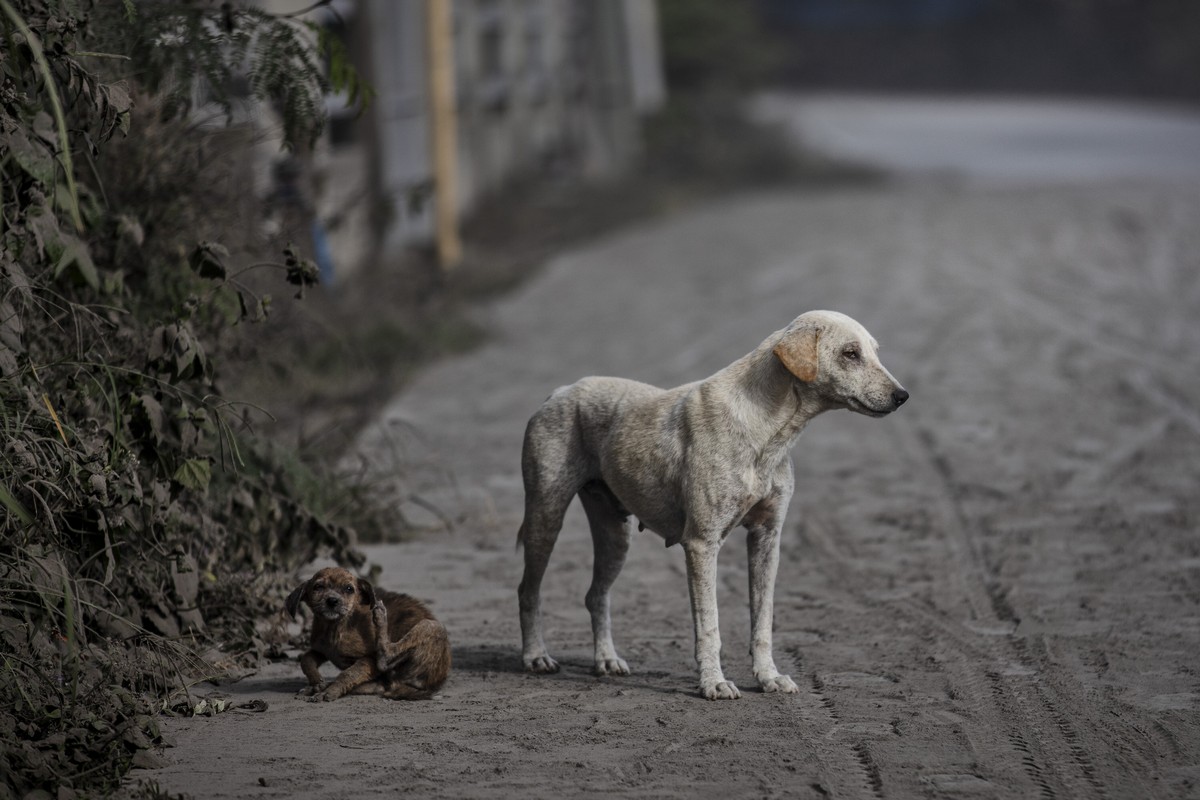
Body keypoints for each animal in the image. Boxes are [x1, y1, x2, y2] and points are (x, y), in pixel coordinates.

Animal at [284, 568, 451, 700]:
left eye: (349, 589)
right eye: (318, 587)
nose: (332, 601)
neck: (335, 627)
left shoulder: (368, 660)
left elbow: (348, 674)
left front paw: (330, 691)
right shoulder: (322, 650)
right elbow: (306, 659)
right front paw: (317, 682)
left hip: (431, 626)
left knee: (385, 658)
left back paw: (380, 618)